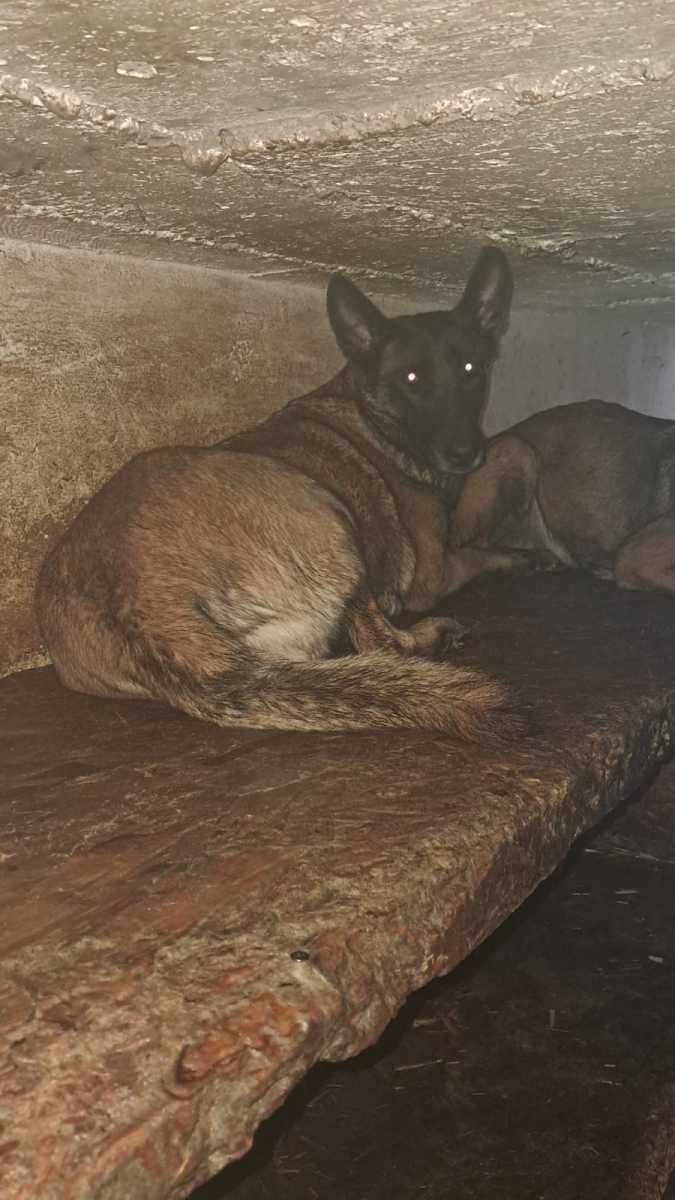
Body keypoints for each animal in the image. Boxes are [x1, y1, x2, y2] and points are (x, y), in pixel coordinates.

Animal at [36, 246, 517, 739]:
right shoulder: (433, 572)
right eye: (413, 378)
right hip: (331, 516)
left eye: (471, 369)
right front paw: (520, 555)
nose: (467, 453)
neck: (368, 411)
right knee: (380, 643)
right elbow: (478, 554)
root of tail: (144, 609)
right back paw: (433, 636)